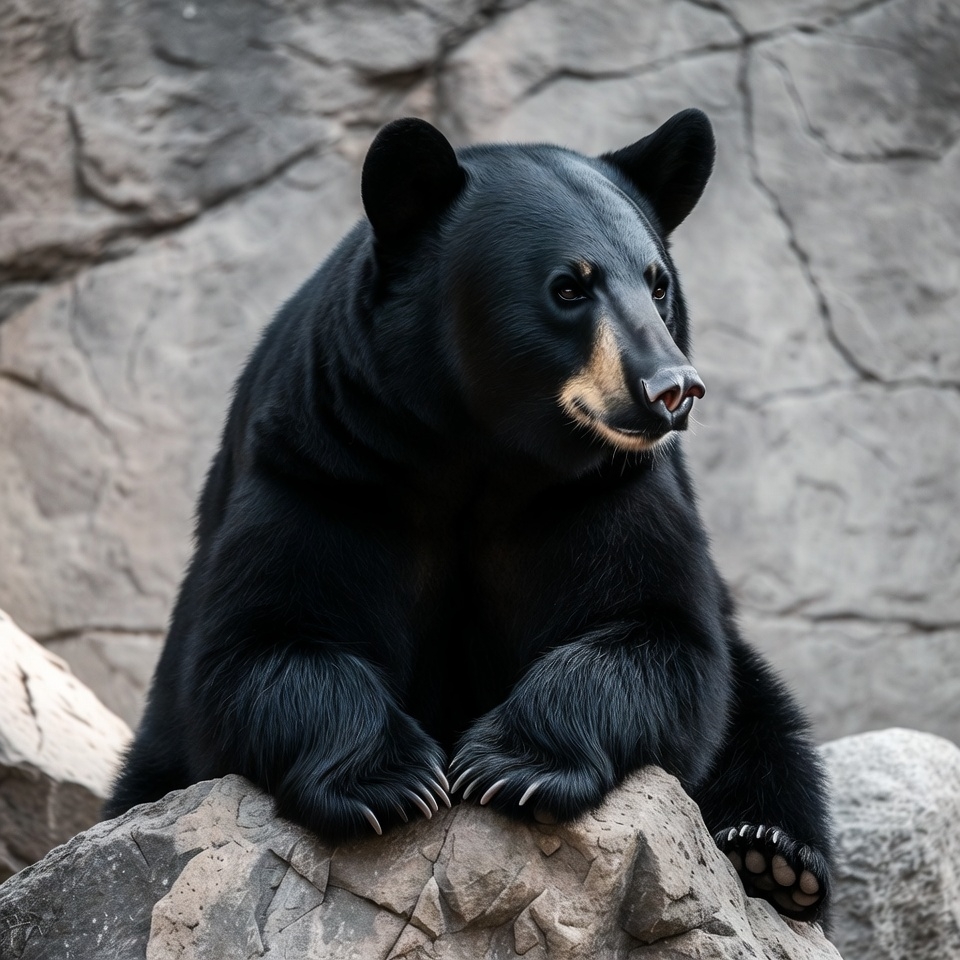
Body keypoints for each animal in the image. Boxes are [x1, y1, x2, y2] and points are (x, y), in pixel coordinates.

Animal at [107, 109, 834, 922]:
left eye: (659, 283)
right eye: (568, 287)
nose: (672, 388)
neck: (479, 445)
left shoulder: (601, 489)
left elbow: (658, 636)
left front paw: (509, 764)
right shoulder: (324, 465)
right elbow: (259, 645)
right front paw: (394, 783)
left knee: (766, 719)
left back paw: (772, 856)